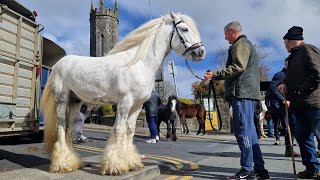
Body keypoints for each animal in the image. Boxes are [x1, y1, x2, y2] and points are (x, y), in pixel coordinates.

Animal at [40, 12, 205, 176]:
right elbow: (119, 130)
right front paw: (115, 166)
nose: (201, 52)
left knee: (69, 129)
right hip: (61, 100)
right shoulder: (125, 102)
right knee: (61, 127)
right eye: (184, 29)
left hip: (75, 102)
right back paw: (61, 165)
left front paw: (131, 163)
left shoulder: (137, 105)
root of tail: (57, 65)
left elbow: (129, 131)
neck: (139, 63)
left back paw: (72, 162)